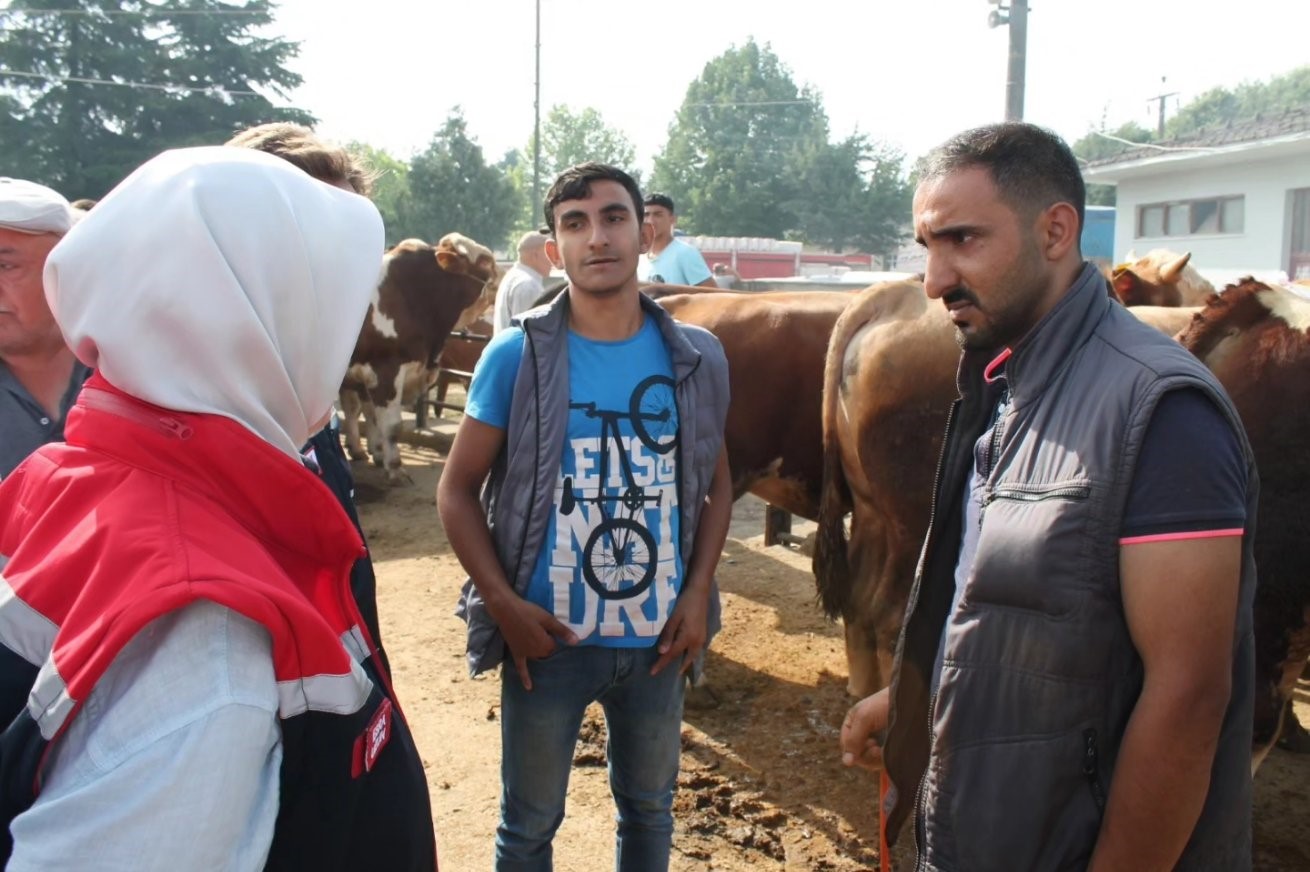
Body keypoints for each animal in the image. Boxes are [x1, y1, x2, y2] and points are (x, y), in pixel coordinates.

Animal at [343, 230, 495, 479]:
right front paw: (395, 466)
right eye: (485, 262)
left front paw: (376, 453)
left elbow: (369, 415)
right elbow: (391, 425)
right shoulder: (385, 370)